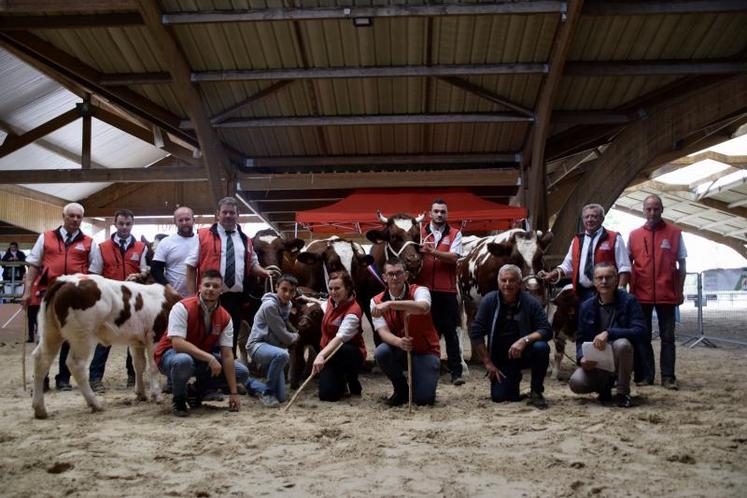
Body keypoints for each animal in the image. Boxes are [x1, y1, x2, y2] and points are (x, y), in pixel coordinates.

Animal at [33, 274, 183, 418]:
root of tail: (66, 280)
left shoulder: (136, 341)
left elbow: (139, 365)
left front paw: (141, 393)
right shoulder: (155, 335)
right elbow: (153, 366)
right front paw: (156, 395)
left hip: (51, 332)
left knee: (41, 360)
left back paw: (40, 409)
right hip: (82, 336)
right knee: (76, 364)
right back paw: (95, 403)